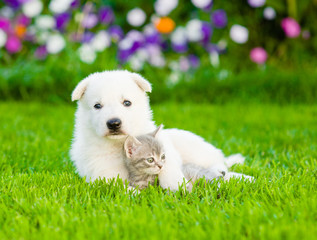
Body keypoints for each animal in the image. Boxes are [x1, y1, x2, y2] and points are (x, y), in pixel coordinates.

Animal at [69, 70, 252, 191]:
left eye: (127, 103)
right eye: (97, 106)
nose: (114, 123)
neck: (119, 145)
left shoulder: (167, 151)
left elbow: (169, 168)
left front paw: (177, 186)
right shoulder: (101, 172)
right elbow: (118, 186)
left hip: (197, 152)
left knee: (219, 166)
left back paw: (245, 177)